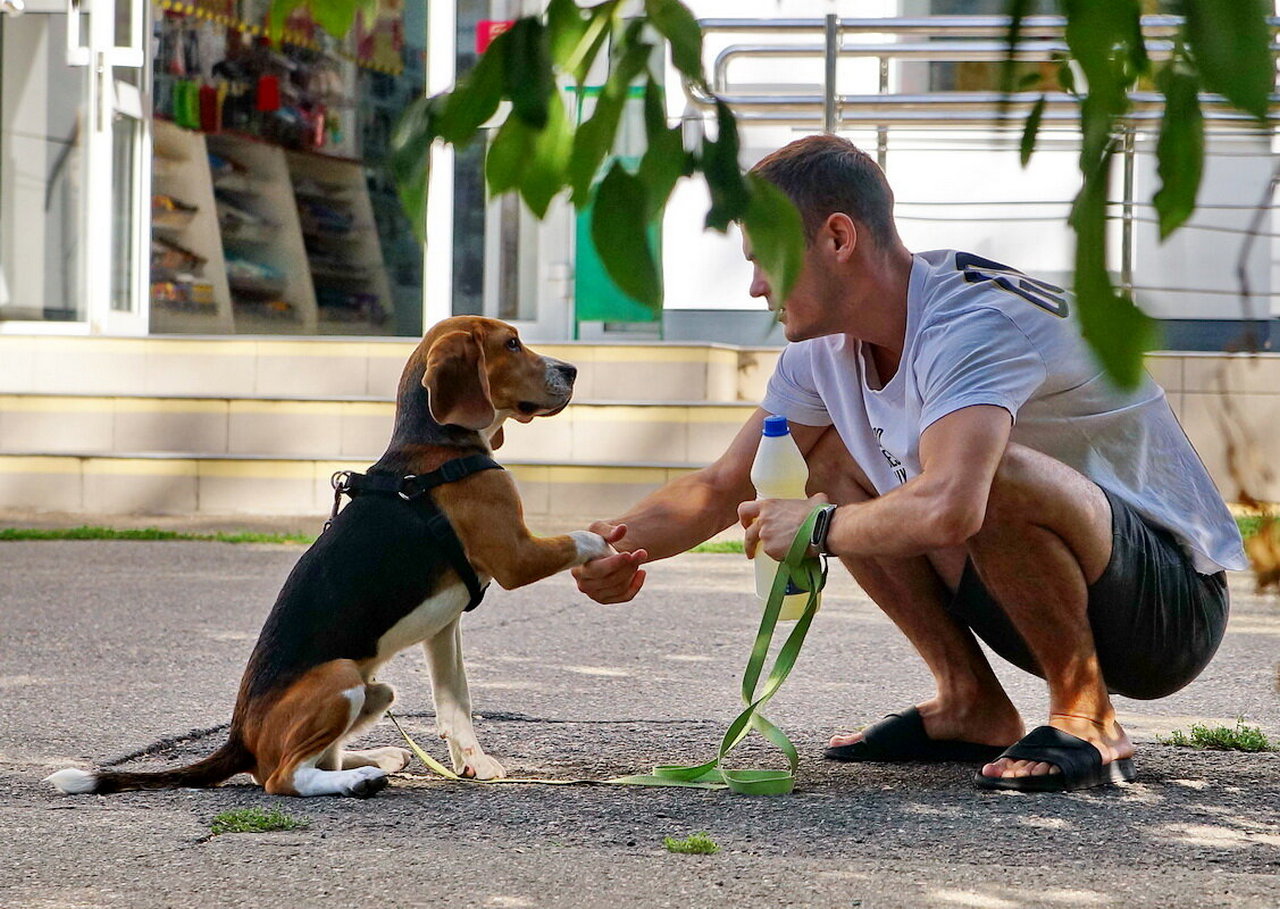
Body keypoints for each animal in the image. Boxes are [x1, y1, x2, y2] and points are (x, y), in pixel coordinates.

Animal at [47, 318, 606, 798]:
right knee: (283, 777)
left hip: (377, 689)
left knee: (309, 761)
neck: (436, 446)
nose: (573, 370)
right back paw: (358, 779)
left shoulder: (444, 628)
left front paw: (473, 763)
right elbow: (581, 538)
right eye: (511, 343)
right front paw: (608, 542)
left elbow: (456, 700)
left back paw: (377, 758)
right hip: (341, 679)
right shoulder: (517, 556)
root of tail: (240, 739)